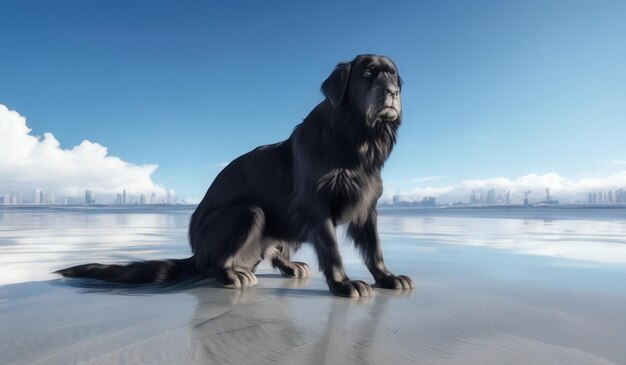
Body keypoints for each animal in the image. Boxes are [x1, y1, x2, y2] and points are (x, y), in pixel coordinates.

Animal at [56, 54, 412, 298]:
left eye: (394, 76)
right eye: (367, 74)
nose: (392, 92)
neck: (356, 138)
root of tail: (195, 251)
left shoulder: (366, 207)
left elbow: (375, 249)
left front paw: (387, 278)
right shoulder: (314, 205)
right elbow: (332, 249)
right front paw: (344, 284)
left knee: (271, 251)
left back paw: (286, 266)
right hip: (249, 212)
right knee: (214, 263)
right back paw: (231, 274)